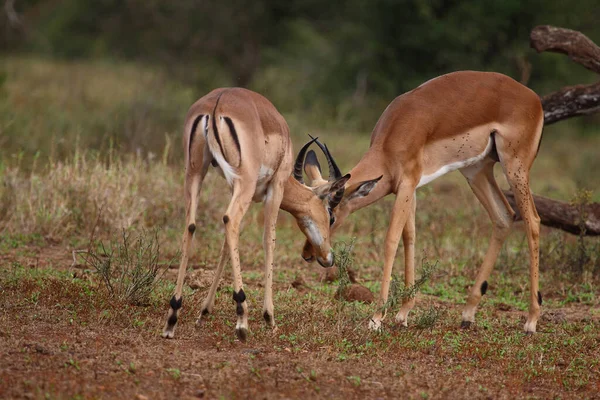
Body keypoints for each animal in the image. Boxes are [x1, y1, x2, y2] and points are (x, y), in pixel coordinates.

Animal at [162, 87, 350, 340]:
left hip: (195, 173)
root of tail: (216, 106)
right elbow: (269, 240)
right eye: (331, 216)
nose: (327, 258)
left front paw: (204, 312)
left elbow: (226, 245)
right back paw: (242, 319)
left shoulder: (236, 188)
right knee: (230, 220)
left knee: (192, 225)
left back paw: (172, 316)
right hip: (244, 181)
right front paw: (269, 317)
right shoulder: (275, 188)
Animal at [304, 71, 544, 334]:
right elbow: (410, 237)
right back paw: (468, 314)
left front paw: (376, 318)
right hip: (476, 170)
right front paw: (403, 314)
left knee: (533, 220)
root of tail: (534, 98)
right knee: (503, 217)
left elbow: (391, 241)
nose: (309, 254)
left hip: (515, 167)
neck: (394, 135)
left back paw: (531, 321)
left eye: (331, 216)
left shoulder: (407, 184)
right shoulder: (410, 187)